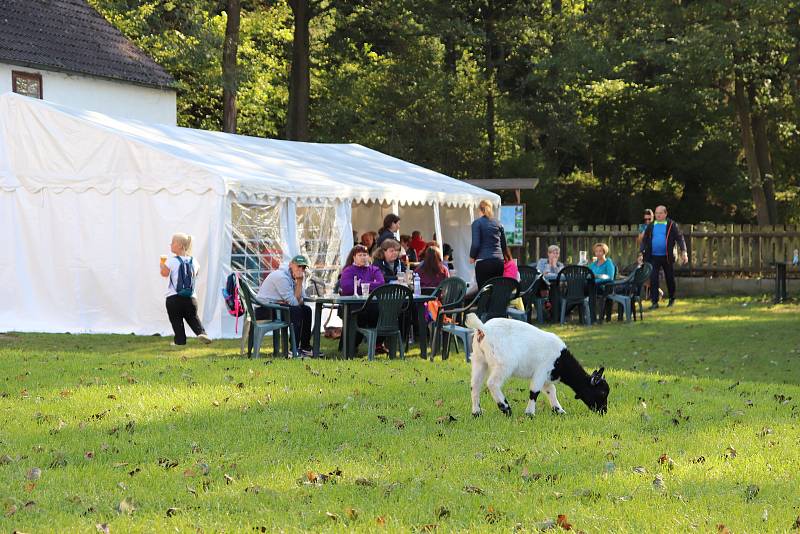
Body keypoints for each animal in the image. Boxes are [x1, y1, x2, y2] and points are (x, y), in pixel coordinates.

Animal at [466, 314, 608, 418]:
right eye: (602, 393)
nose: (604, 411)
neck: (560, 360)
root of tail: (484, 329)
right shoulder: (541, 370)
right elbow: (534, 391)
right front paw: (530, 414)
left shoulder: (547, 376)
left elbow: (551, 391)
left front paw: (559, 410)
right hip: (504, 364)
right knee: (492, 383)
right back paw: (506, 408)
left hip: (479, 360)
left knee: (475, 386)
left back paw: (477, 413)